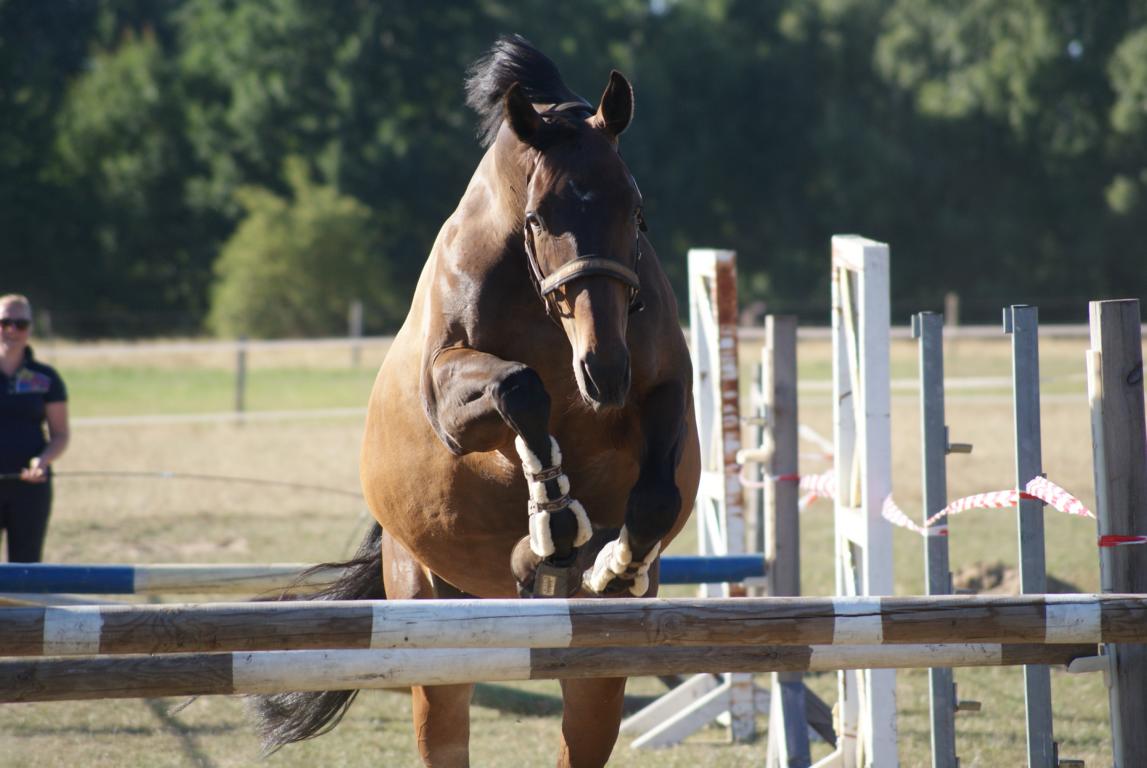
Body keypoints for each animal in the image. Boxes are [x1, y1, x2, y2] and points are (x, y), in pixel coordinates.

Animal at [253, 35, 700, 768]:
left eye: (636, 212)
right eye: (540, 217)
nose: (603, 373)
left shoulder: (663, 387)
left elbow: (656, 494)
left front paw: (614, 565)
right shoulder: (451, 401)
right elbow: (520, 390)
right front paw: (553, 516)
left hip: (594, 676)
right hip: (433, 622)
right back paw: (538, 553)